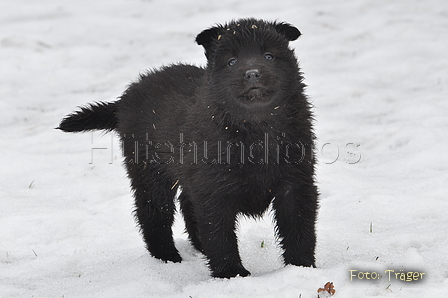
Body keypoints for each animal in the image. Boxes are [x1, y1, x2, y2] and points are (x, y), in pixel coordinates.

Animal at [58, 18, 318, 278]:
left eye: (269, 56)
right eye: (232, 61)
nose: (252, 73)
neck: (254, 128)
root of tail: (124, 100)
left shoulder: (296, 184)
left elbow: (300, 229)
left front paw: (301, 267)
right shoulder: (214, 191)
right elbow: (220, 237)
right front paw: (231, 275)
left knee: (186, 202)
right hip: (150, 171)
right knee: (153, 213)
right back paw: (167, 257)